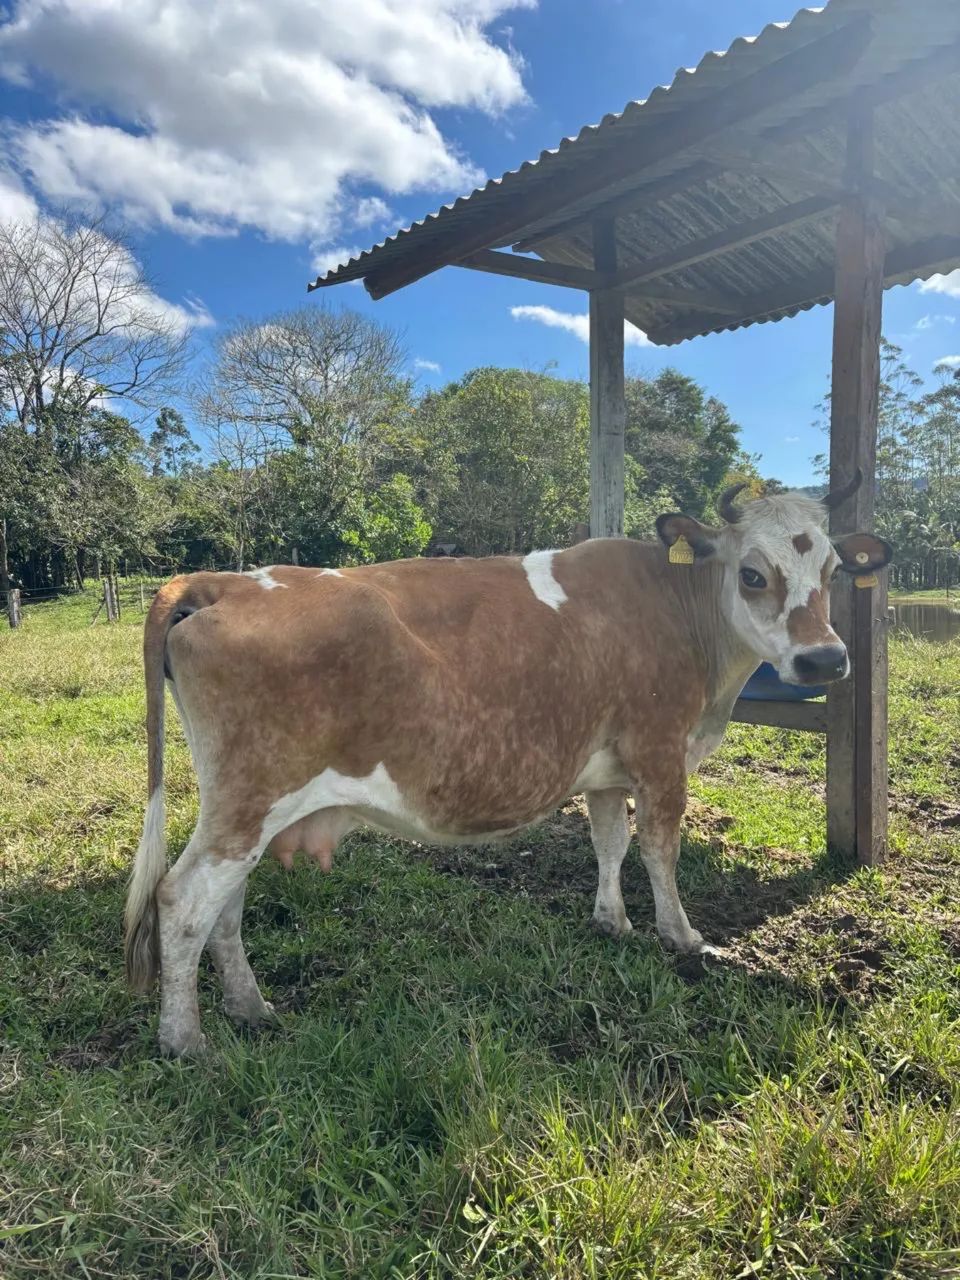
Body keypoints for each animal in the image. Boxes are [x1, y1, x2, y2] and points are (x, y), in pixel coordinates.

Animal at [125, 478, 892, 1056]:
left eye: (831, 572)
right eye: (753, 574)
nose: (825, 659)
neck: (680, 612)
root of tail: (224, 581)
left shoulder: (607, 769)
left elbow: (610, 843)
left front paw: (611, 920)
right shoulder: (658, 753)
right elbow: (658, 850)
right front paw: (682, 937)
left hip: (246, 811)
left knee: (224, 907)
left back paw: (250, 1007)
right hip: (251, 800)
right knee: (182, 900)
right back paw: (185, 1040)